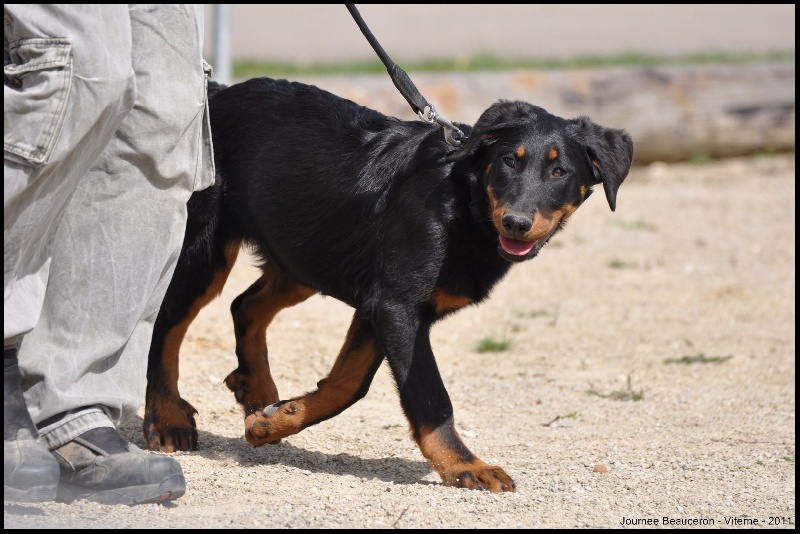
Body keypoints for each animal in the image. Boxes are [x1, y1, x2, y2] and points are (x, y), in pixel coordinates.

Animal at [142, 76, 632, 494]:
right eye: (510, 160)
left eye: (560, 172)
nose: (516, 223)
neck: (463, 204)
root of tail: (216, 92)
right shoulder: (396, 305)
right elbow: (429, 397)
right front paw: (465, 465)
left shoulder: (380, 305)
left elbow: (347, 384)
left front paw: (274, 421)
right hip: (207, 247)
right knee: (166, 323)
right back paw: (167, 419)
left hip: (306, 252)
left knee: (245, 305)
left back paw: (258, 390)